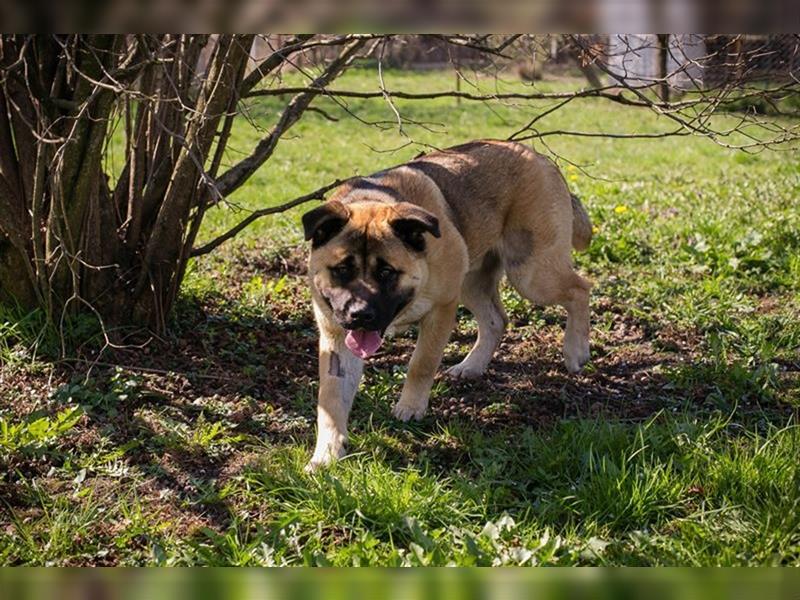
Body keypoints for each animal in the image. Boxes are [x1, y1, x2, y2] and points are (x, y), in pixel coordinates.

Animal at [304, 141, 592, 468]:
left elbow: (421, 363)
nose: (360, 315)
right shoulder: (336, 338)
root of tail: (539, 157)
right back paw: (472, 365)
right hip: (472, 282)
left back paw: (576, 350)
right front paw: (326, 453)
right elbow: (331, 398)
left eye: (386, 272)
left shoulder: (441, 309)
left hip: (531, 274)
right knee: (496, 320)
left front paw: (411, 406)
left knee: (580, 290)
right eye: (342, 269)